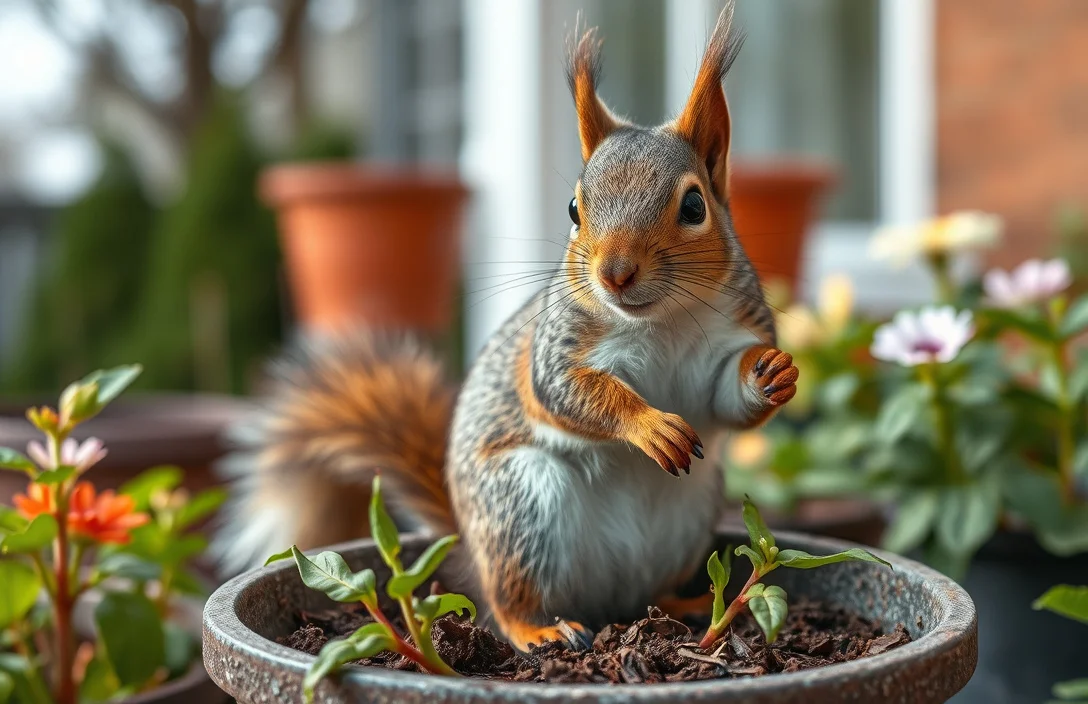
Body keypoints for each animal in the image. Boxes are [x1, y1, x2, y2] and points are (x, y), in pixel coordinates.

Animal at [214, 1, 798, 653]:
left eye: (694, 206)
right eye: (574, 209)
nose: (614, 273)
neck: (661, 322)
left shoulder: (732, 333)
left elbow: (727, 398)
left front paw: (772, 375)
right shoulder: (556, 349)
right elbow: (570, 391)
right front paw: (648, 424)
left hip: (687, 515)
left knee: (651, 589)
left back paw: (689, 603)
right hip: (522, 506)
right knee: (509, 599)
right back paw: (541, 629)